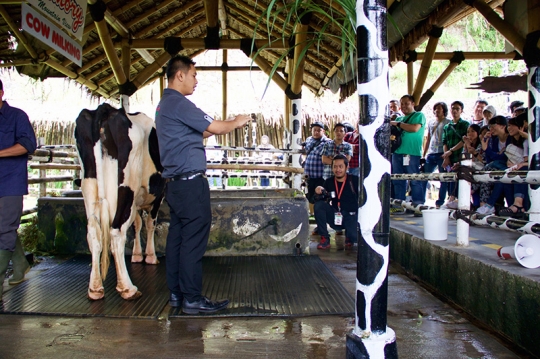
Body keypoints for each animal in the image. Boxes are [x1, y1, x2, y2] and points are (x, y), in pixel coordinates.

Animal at [75, 103, 166, 300]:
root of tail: (106, 109)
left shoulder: (137, 202)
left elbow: (137, 224)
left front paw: (138, 255)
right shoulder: (158, 196)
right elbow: (149, 224)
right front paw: (150, 256)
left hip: (89, 186)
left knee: (93, 232)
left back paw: (95, 288)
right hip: (126, 187)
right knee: (116, 232)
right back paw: (127, 288)